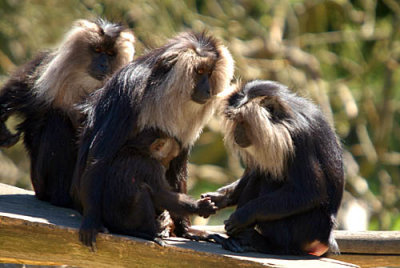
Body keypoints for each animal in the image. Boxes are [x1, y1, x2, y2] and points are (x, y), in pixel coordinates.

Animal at [0, 19, 135, 207]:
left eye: (110, 54)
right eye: (97, 50)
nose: (103, 65)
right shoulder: (45, 67)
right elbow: (17, 90)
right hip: (40, 182)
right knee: (55, 120)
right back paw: (60, 197)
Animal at [71, 31, 234, 247]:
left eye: (210, 73)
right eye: (200, 71)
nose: (208, 90)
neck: (161, 89)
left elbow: (176, 170)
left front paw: (187, 230)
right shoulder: (131, 91)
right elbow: (100, 157)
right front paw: (91, 222)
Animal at [202, 80, 346, 256]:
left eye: (242, 121)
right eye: (234, 120)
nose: (236, 132)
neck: (287, 117)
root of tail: (327, 238)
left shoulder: (298, 138)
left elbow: (311, 192)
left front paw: (244, 215)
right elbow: (254, 171)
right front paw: (218, 198)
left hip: (308, 227)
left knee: (268, 181)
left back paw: (269, 244)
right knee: (260, 175)